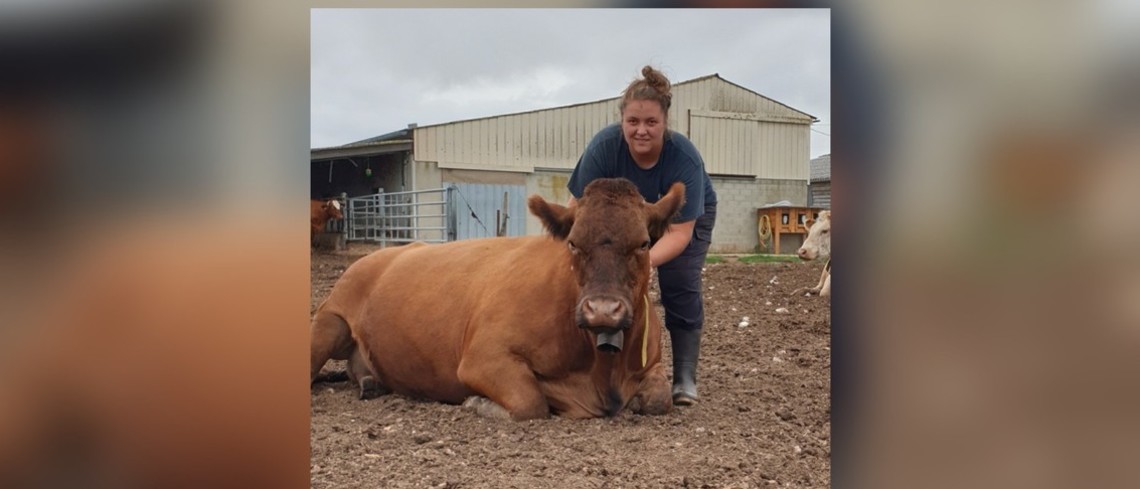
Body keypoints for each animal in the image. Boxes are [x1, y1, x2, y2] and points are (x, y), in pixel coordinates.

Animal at [312, 177, 679, 419]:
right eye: (573, 243)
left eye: (644, 243)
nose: (602, 310)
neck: (601, 368)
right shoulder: (483, 358)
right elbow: (530, 401)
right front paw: (477, 402)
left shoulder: (653, 363)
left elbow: (660, 398)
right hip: (329, 322)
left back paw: (371, 383)